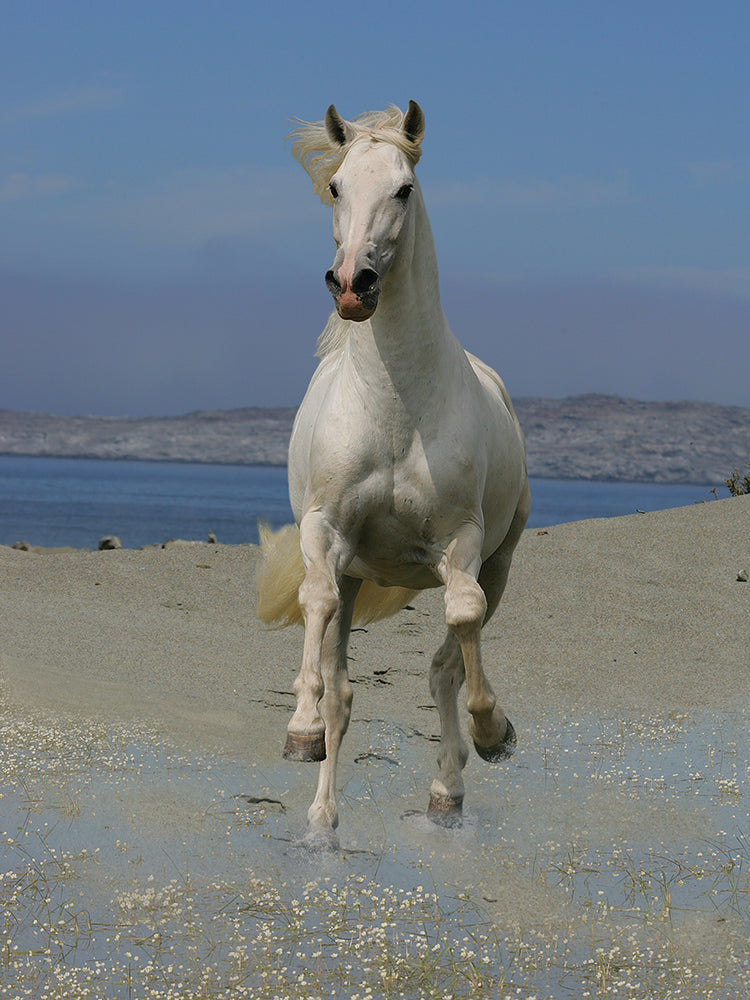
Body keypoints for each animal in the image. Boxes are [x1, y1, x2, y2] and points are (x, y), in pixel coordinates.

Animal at [257, 101, 530, 844]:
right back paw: (321, 817)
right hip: (355, 572)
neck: (395, 406)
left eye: (404, 189)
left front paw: (493, 730)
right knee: (345, 683)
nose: (353, 285)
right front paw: (300, 727)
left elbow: (461, 620)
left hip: (498, 561)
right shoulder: (325, 534)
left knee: (445, 665)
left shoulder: (461, 542)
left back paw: (447, 792)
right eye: (336, 187)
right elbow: (316, 614)